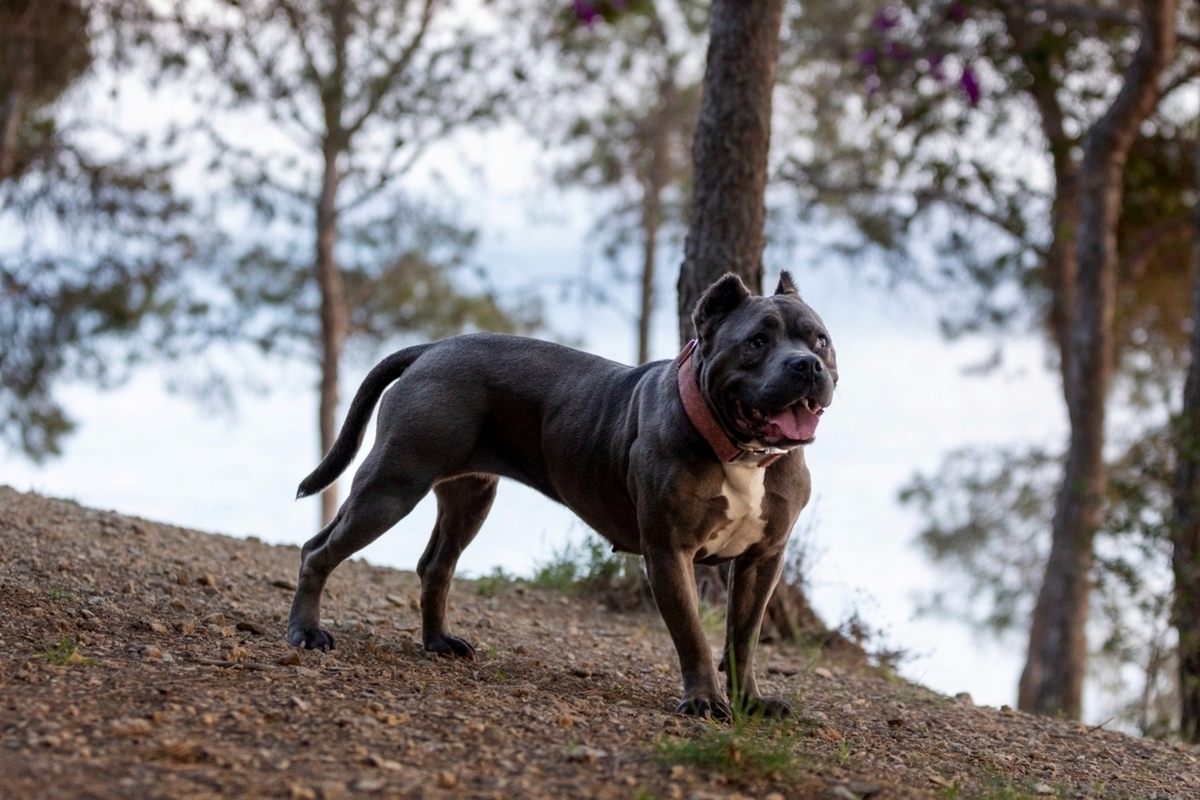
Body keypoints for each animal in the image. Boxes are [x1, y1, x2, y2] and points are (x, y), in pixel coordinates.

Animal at [288, 271, 835, 719]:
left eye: (821, 340)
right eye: (757, 341)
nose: (807, 365)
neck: (739, 451)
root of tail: (432, 347)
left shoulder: (763, 559)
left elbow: (744, 637)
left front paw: (750, 701)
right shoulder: (668, 551)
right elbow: (693, 634)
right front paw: (703, 701)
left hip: (469, 497)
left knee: (435, 567)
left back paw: (438, 642)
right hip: (393, 484)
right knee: (318, 550)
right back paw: (305, 632)